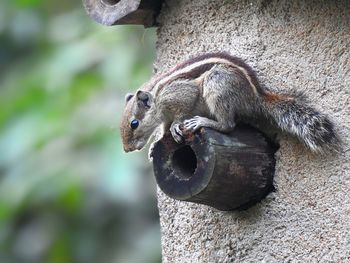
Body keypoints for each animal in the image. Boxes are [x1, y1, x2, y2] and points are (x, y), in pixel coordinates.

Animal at [119, 52, 340, 154]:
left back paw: (203, 122)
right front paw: (156, 143)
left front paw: (175, 127)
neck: (157, 97)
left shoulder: (180, 95)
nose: (127, 149)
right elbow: (164, 128)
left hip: (217, 85)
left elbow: (180, 114)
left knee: (228, 125)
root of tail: (256, 97)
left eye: (134, 123)